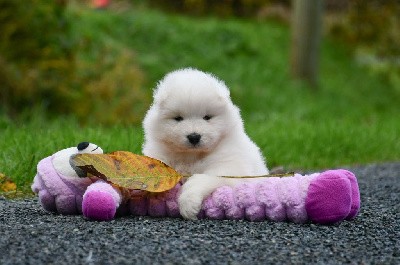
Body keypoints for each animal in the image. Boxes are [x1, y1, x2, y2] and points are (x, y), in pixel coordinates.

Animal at [141, 68, 268, 219]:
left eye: (207, 117)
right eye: (178, 118)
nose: (194, 137)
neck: (191, 155)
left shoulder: (228, 166)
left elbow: (200, 179)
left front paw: (188, 204)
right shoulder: (159, 156)